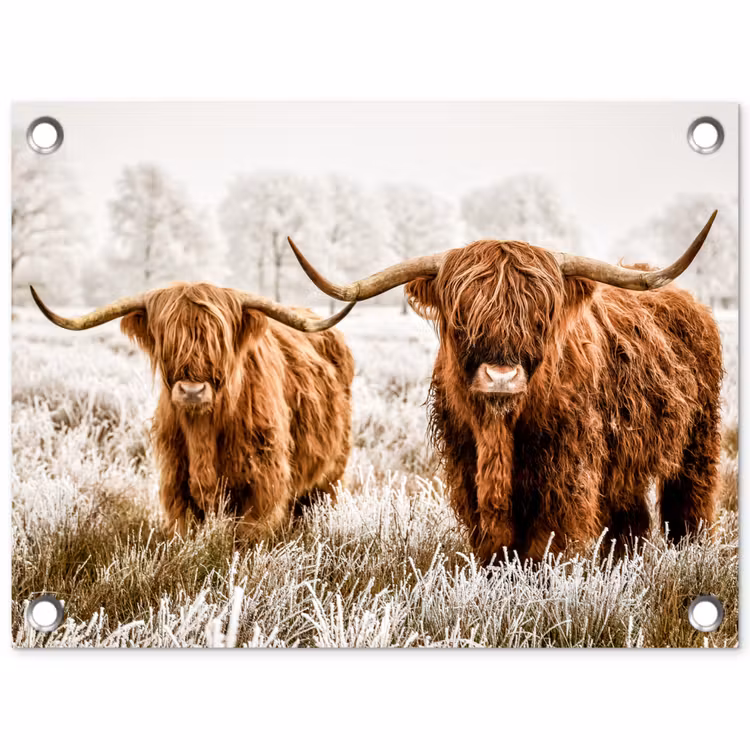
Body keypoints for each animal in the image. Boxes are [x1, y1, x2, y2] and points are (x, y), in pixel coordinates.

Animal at [31, 282, 356, 539]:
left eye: (218, 341)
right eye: (167, 340)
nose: (191, 391)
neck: (204, 432)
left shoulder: (263, 487)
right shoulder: (176, 486)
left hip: (330, 476)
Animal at [287, 212, 722, 563]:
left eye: (539, 316)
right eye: (462, 317)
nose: (500, 377)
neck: (500, 430)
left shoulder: (567, 472)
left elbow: (547, 542)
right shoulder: (466, 466)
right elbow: (494, 541)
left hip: (698, 440)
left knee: (689, 503)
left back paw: (690, 552)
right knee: (630, 518)